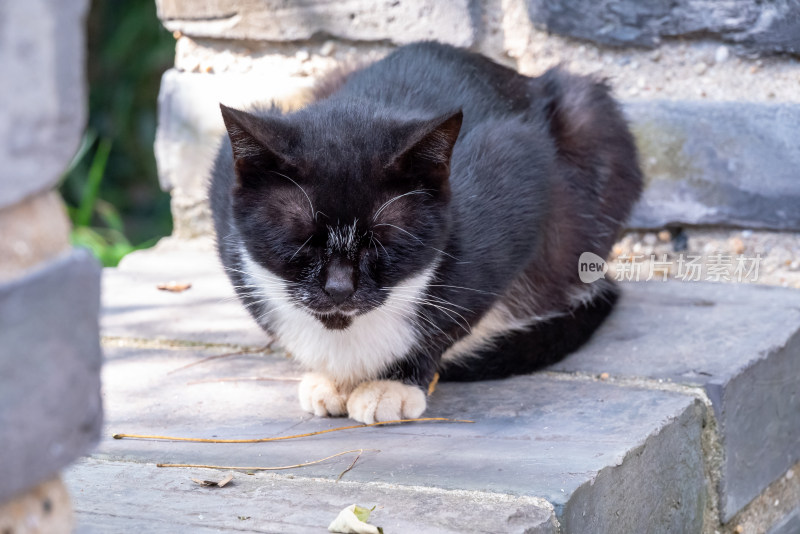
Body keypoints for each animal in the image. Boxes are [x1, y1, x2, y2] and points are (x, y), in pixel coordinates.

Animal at [208, 42, 644, 426]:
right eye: (301, 241)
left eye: (382, 242)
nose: (339, 289)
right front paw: (334, 377)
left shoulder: (518, 179)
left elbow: (455, 317)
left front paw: (393, 383)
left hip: (591, 125)